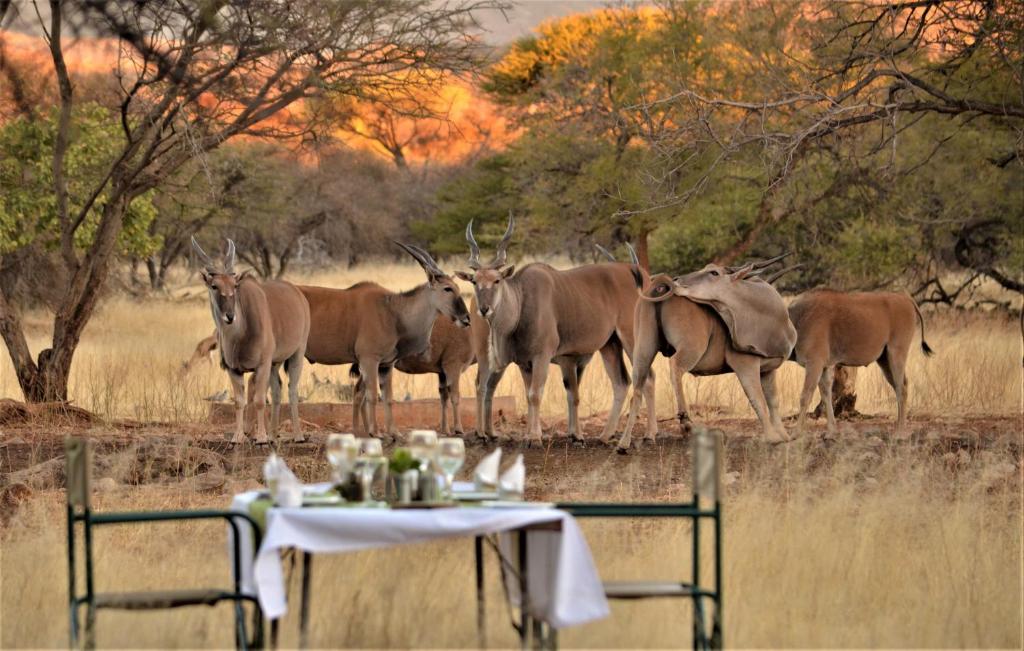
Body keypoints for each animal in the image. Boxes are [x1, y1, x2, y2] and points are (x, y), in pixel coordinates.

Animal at [192, 236, 309, 444]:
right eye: (214, 286)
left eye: (234, 285)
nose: (230, 316)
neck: (239, 336)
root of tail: (298, 294)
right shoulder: (234, 369)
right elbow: (240, 401)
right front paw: (238, 437)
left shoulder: (262, 365)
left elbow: (260, 400)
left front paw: (260, 437)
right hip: (275, 363)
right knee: (277, 390)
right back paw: (273, 435)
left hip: (297, 353)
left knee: (292, 390)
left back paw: (297, 435)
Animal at [299, 243, 468, 438]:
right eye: (447, 288)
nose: (466, 319)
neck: (392, 311)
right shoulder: (369, 360)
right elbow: (372, 395)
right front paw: (375, 432)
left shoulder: (386, 365)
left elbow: (388, 398)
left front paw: (393, 433)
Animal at [786, 290, 933, 440]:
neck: (798, 317)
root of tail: (906, 298)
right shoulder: (825, 367)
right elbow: (826, 395)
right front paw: (831, 432)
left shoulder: (814, 363)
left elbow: (805, 396)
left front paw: (796, 433)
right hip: (884, 360)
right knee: (902, 385)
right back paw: (898, 427)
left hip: (896, 353)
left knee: (901, 388)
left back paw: (900, 432)